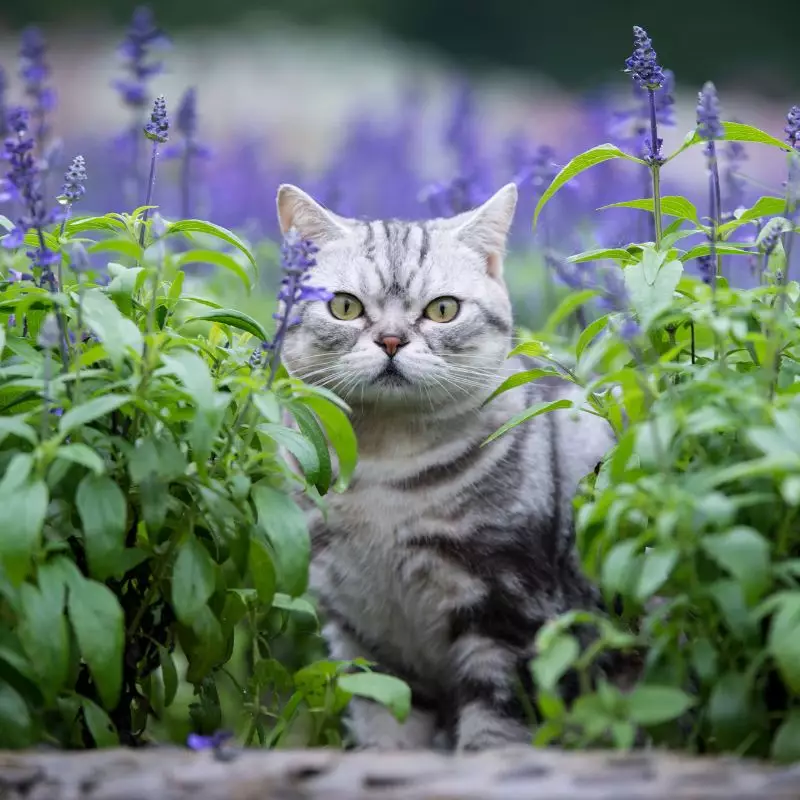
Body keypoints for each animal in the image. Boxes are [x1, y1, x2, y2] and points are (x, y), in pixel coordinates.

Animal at [274, 180, 612, 752]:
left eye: (442, 310)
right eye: (344, 306)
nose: (391, 340)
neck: (381, 473)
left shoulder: (510, 615)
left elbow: (494, 733)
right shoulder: (367, 634)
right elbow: (386, 729)